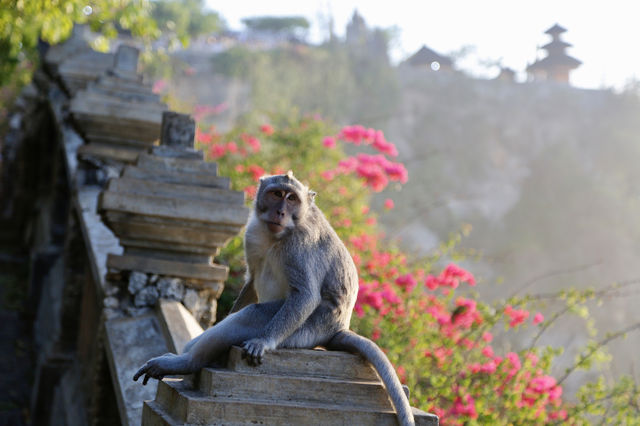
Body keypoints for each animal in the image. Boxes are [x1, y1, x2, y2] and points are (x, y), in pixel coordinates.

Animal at [134, 171, 416, 424]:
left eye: (292, 199)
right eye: (277, 194)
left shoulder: (301, 245)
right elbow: (251, 282)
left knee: (254, 315)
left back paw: (187, 362)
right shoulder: (252, 235)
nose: (280, 212)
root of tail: (337, 329)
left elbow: (305, 295)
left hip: (305, 332)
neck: (278, 233)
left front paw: (264, 341)